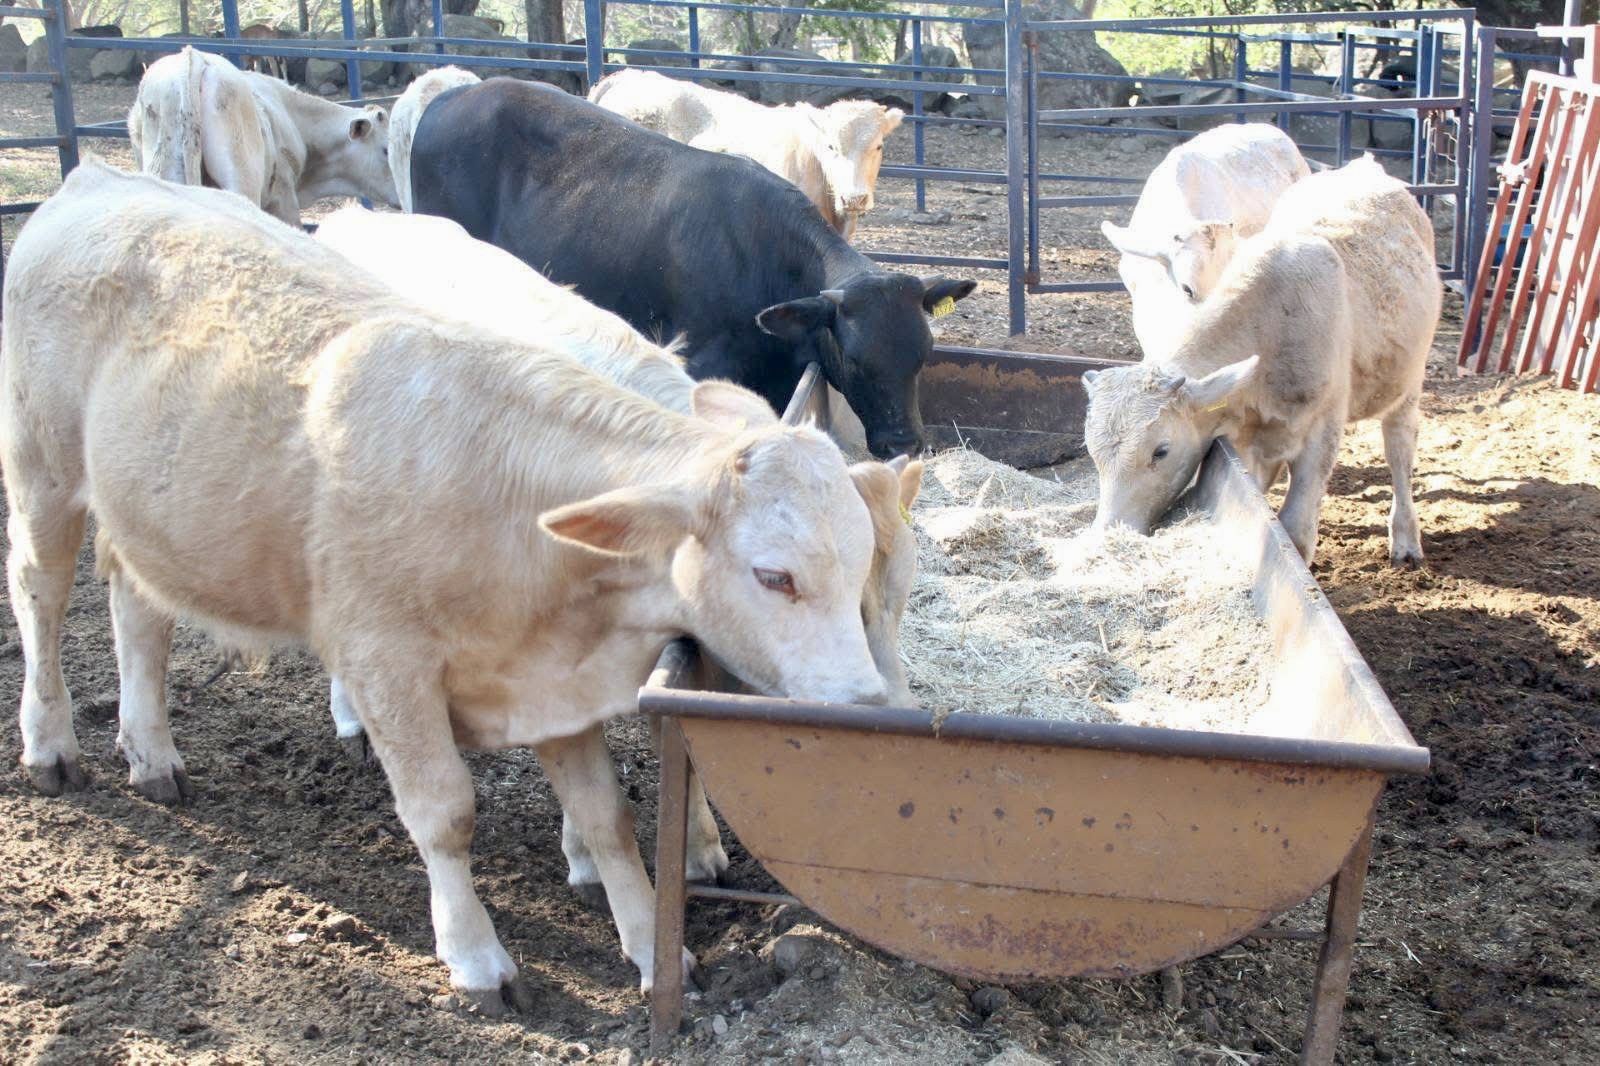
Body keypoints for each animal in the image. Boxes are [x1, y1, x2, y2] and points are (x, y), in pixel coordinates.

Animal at [313, 206, 924, 891]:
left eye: (899, 600)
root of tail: (353, 216)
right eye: (790, 581)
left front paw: (698, 847)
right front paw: (588, 855)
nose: (895, 714)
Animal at [1083, 155, 1437, 566]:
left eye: (1161, 451)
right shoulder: (1242, 438)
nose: (1108, 532)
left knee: (1400, 448)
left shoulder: (1323, 431)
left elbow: (1296, 529)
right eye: (1092, 452)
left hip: (1408, 382)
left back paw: (1406, 537)